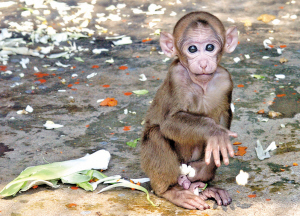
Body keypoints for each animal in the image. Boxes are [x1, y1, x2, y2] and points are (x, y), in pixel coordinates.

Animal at [141, 11, 239, 210]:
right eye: (192, 49)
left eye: (209, 47)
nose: (203, 63)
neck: (201, 82)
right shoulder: (176, 77)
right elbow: (170, 123)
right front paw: (214, 132)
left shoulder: (226, 80)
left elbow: (224, 113)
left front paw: (217, 146)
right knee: (155, 134)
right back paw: (171, 191)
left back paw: (202, 187)